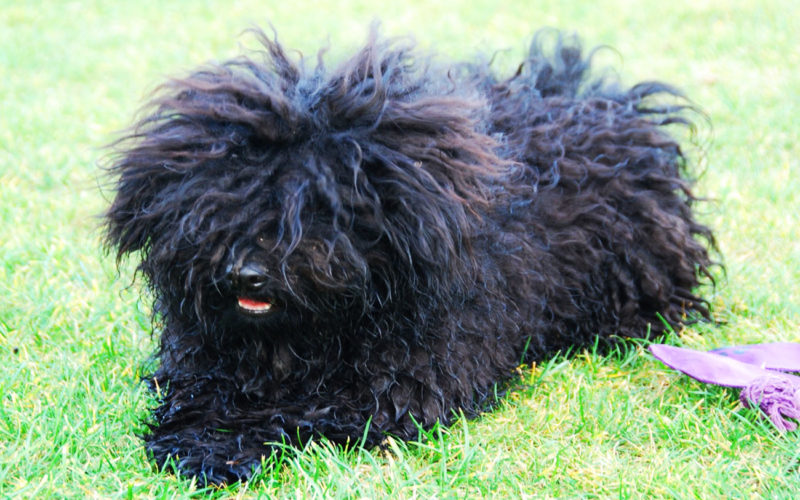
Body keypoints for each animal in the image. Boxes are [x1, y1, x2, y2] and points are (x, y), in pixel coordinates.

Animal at [104, 28, 712, 484]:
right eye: (219, 203)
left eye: (321, 207)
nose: (246, 273)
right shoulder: (208, 356)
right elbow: (199, 391)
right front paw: (191, 434)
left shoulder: (405, 380)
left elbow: (303, 413)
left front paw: (223, 447)